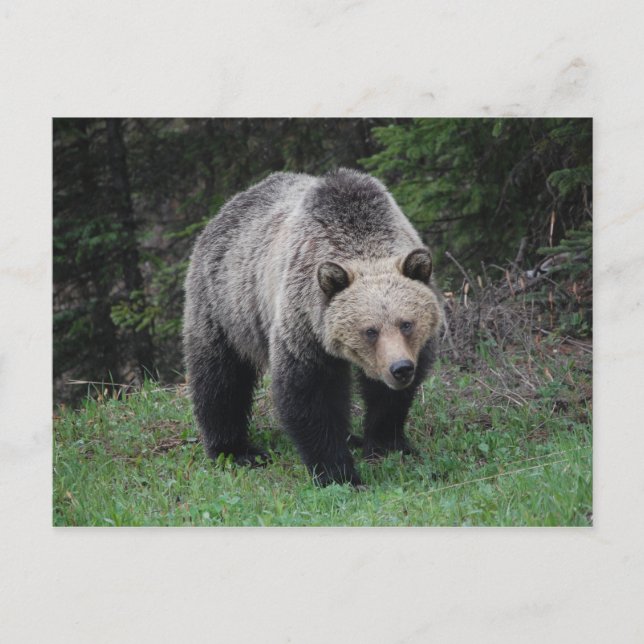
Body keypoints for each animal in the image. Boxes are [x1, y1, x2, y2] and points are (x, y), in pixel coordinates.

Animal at [183, 169, 443, 486]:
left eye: (407, 324)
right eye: (370, 330)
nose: (400, 368)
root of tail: (227, 207)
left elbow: (388, 398)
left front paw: (387, 444)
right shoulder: (304, 324)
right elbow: (310, 395)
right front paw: (338, 473)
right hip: (225, 305)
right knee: (220, 378)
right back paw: (236, 450)